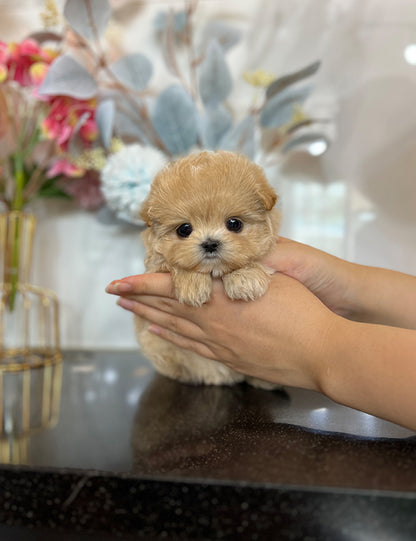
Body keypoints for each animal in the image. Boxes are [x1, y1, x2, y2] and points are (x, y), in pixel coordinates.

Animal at [135, 150, 282, 386]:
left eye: (234, 224)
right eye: (184, 229)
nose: (210, 243)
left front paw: (245, 278)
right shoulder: (153, 266)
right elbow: (171, 262)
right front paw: (191, 283)